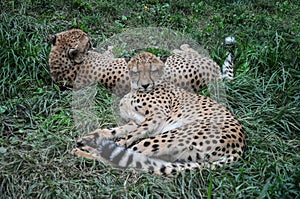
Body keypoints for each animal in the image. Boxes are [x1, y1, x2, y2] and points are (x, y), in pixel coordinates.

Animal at [48, 28, 234, 95]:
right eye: (86, 41)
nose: (92, 41)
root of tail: (214, 75)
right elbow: (110, 52)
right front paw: (111, 47)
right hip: (175, 60)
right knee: (193, 53)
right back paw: (182, 47)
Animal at [71, 51, 246, 176]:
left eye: (153, 70)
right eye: (136, 72)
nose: (145, 85)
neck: (136, 90)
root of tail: (241, 144)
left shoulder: (156, 117)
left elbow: (126, 138)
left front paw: (108, 144)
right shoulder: (136, 121)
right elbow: (114, 130)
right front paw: (89, 137)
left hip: (170, 136)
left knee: (122, 160)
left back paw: (83, 152)